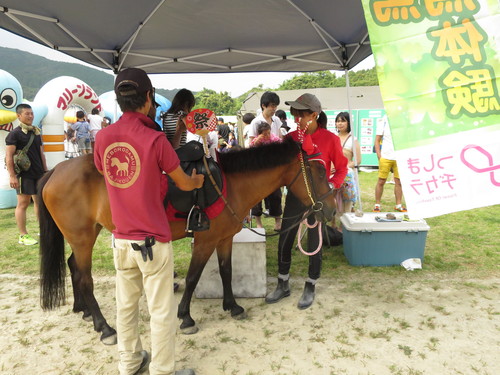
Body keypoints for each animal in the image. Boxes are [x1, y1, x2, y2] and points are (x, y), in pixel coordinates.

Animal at [38, 138, 336, 344]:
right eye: (320, 174)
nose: (332, 209)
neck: (229, 184)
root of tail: (56, 170)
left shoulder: (224, 239)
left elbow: (227, 271)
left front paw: (232, 306)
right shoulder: (205, 241)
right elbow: (193, 277)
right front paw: (186, 317)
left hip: (84, 236)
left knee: (73, 266)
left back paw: (84, 311)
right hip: (82, 238)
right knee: (84, 277)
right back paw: (105, 327)